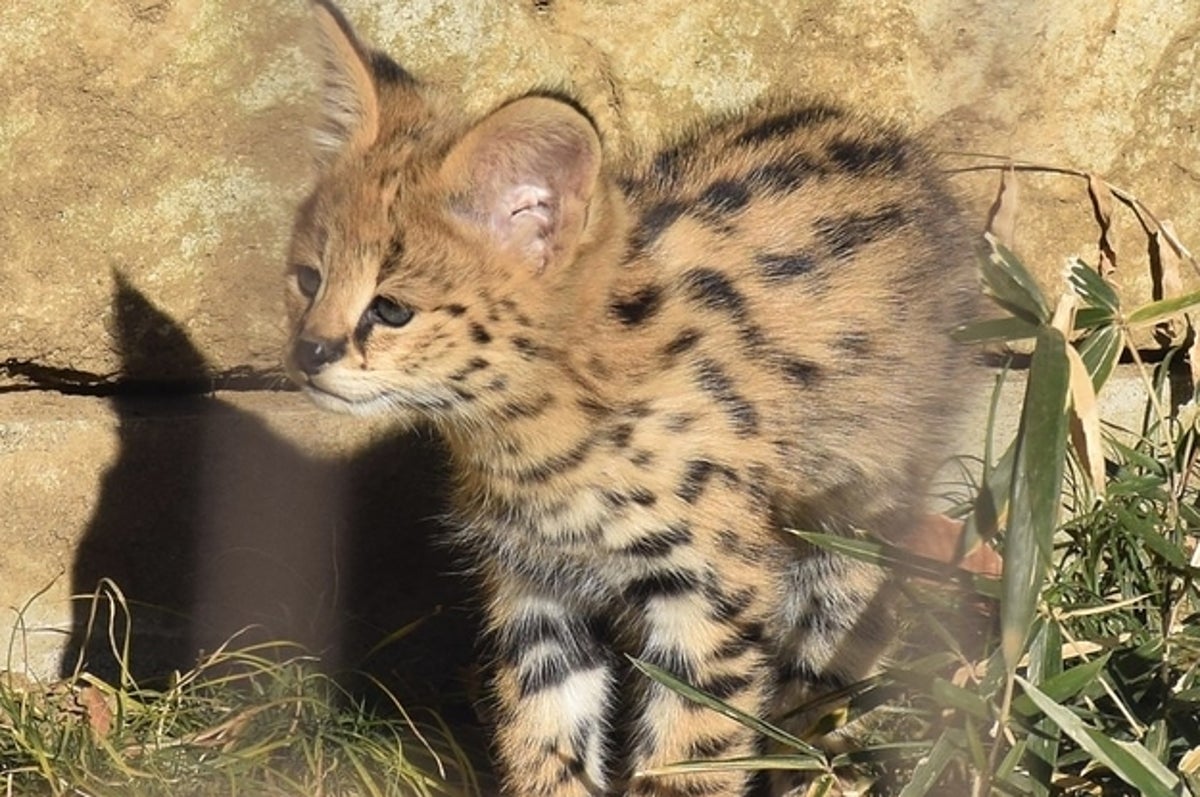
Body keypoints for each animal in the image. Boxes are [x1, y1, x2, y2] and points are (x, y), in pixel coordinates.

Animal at [285, 3, 979, 792]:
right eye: (308, 279)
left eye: (392, 309)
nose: (308, 352)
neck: (540, 442)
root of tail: (898, 147)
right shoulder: (537, 590)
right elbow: (544, 734)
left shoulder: (712, 592)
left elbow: (693, 751)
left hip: (862, 505)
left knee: (836, 653)